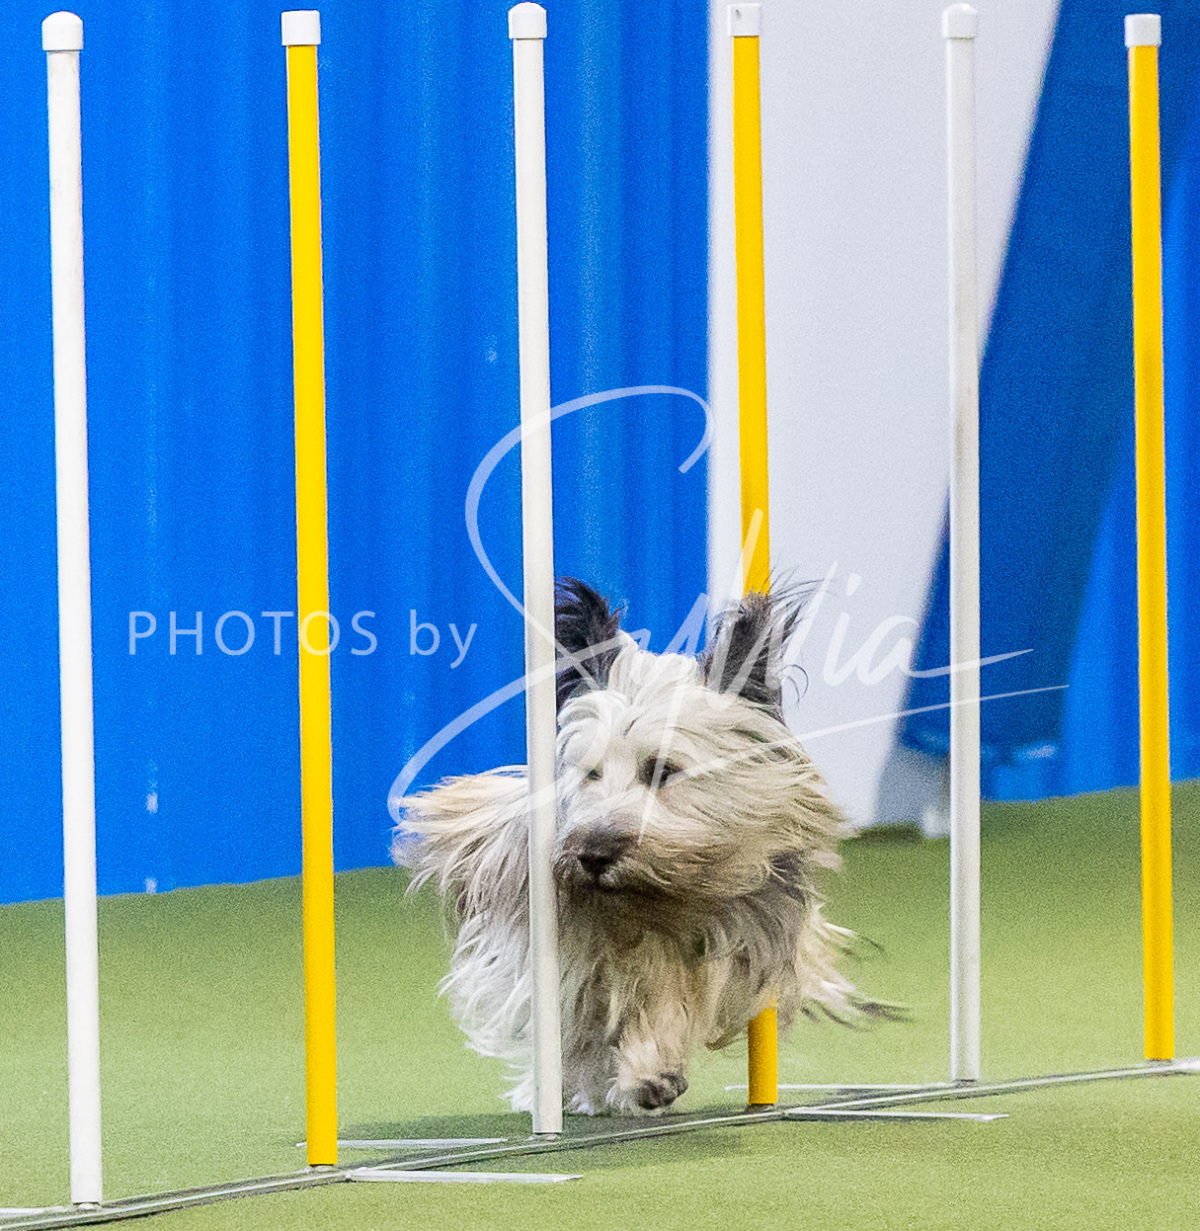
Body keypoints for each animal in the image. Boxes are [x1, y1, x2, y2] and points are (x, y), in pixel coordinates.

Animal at [395, 577, 887, 1115]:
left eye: (661, 770)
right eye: (590, 772)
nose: (593, 855)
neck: (658, 897)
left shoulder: (737, 932)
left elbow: (678, 989)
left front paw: (651, 1067)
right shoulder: (585, 945)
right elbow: (623, 992)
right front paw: (645, 1072)